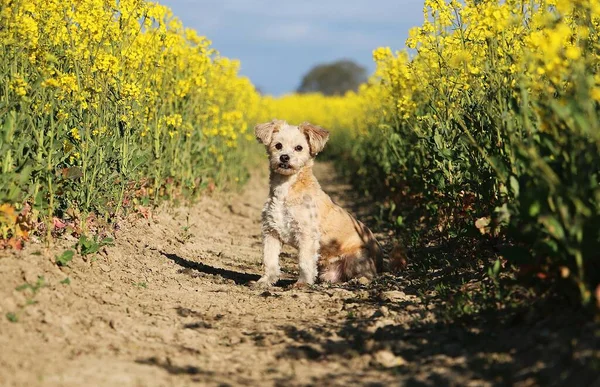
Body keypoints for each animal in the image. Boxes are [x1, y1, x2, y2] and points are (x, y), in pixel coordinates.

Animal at [253, 119, 394, 288]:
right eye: (278, 145)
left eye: (299, 148)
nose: (284, 157)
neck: (286, 188)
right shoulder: (271, 232)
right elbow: (270, 260)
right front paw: (266, 281)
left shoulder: (306, 234)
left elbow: (305, 262)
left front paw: (302, 283)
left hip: (358, 257)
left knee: (369, 275)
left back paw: (358, 280)